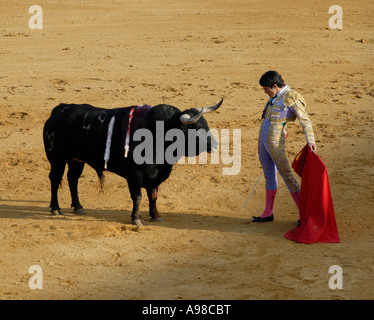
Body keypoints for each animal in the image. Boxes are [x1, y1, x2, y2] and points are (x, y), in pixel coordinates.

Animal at [42, 99, 222, 225]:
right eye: (196, 129)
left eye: (206, 124)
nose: (215, 145)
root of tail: (58, 110)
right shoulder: (135, 174)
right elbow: (138, 196)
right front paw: (136, 218)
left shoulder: (156, 175)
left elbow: (153, 195)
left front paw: (156, 216)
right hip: (57, 158)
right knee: (55, 178)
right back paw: (56, 208)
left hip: (76, 160)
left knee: (73, 178)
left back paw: (78, 207)